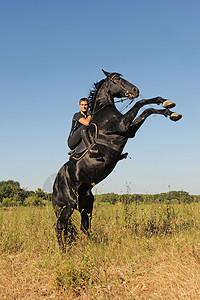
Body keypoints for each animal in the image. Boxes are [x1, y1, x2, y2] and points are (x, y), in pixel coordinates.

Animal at [52, 69, 183, 250]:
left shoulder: (129, 130)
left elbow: (147, 109)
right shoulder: (123, 125)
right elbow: (141, 104)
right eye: (116, 79)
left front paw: (168, 107)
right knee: (61, 225)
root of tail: (54, 189)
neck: (104, 111)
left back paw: (94, 245)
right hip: (69, 203)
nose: (135, 90)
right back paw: (63, 251)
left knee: (83, 226)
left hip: (87, 203)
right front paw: (167, 107)